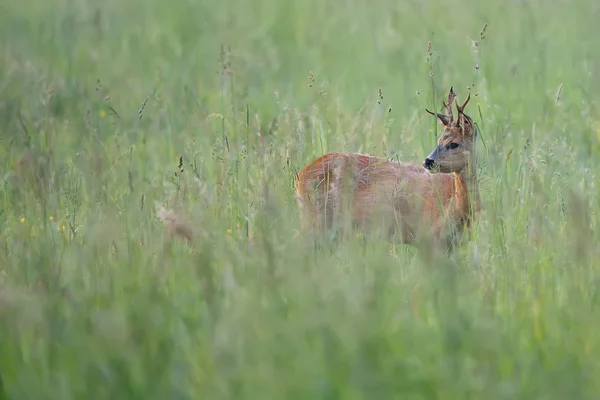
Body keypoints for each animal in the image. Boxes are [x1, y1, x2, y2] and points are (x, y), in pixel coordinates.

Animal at [292, 87, 480, 250]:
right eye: (439, 140)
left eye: (453, 143)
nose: (428, 161)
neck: (455, 207)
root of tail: (300, 175)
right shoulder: (430, 236)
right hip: (315, 220)